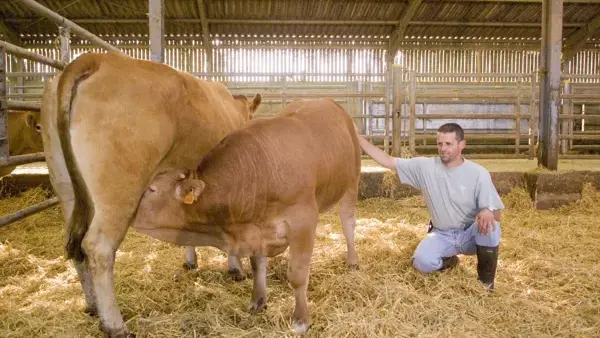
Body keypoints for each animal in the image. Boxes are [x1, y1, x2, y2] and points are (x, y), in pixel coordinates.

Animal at [39, 50, 260, 338]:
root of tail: (97, 57)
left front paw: (191, 261)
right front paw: (236, 268)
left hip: (67, 188)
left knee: (74, 245)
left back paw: (92, 305)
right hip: (119, 191)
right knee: (98, 247)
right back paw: (114, 324)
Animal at [130, 98, 360, 336]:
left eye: (152, 190)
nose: (126, 208)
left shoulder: (302, 220)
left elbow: (297, 275)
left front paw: (300, 320)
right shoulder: (256, 229)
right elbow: (257, 265)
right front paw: (258, 302)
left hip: (352, 180)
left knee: (348, 223)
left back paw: (352, 261)